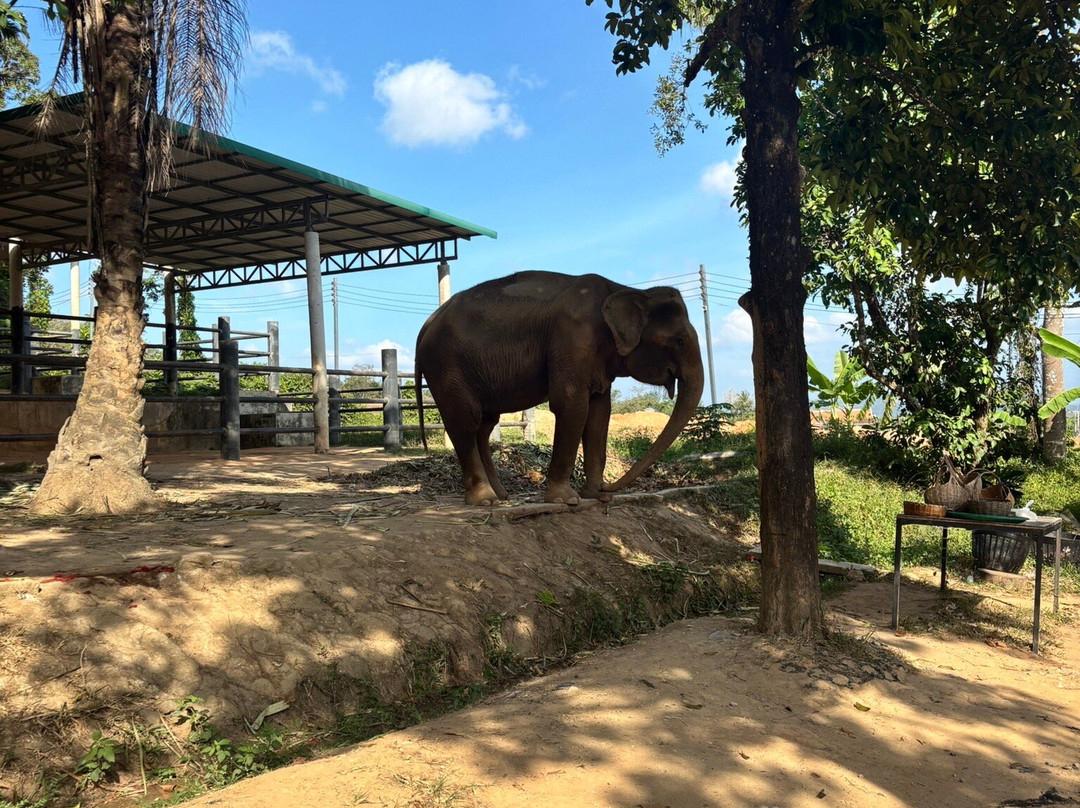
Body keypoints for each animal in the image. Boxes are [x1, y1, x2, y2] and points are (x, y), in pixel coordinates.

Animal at [414, 271, 704, 506]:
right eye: (679, 340)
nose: (609, 486)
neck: (622, 289)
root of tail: (426, 325)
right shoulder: (572, 340)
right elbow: (572, 405)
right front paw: (566, 500)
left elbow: (600, 413)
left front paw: (595, 496)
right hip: (446, 366)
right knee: (466, 421)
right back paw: (485, 501)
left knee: (484, 425)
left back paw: (501, 496)